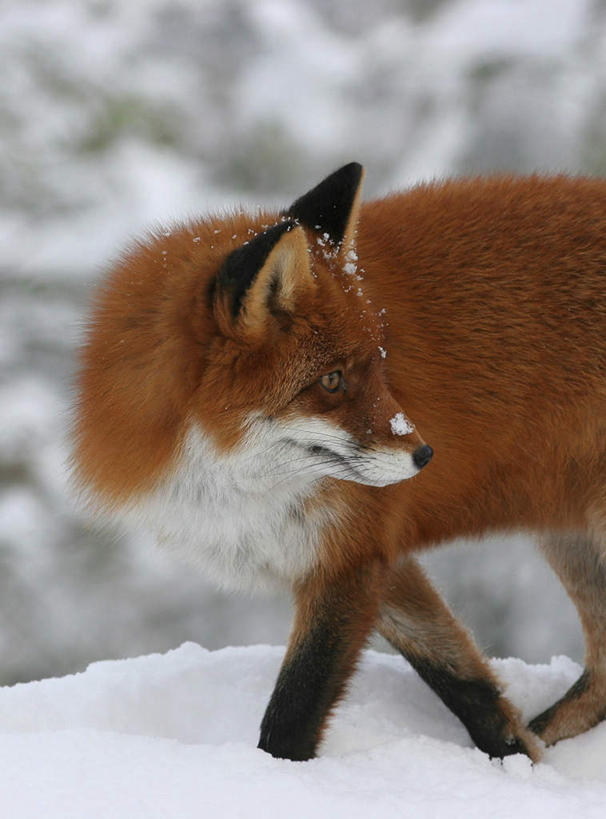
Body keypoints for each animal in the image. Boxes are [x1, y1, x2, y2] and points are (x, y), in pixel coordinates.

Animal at [72, 163, 606, 764]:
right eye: (332, 380)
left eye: (379, 366)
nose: (424, 455)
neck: (235, 490)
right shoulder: (363, 557)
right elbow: (461, 678)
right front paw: (517, 761)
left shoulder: (353, 552)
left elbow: (296, 708)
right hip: (568, 537)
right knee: (602, 679)